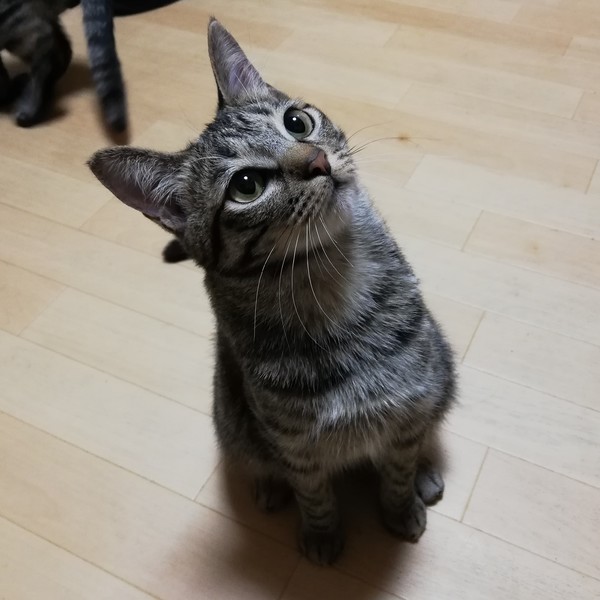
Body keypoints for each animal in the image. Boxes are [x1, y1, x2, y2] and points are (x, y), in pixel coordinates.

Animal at [88, 18, 457, 565]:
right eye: (245, 185)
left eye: (297, 122)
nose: (318, 160)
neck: (328, 283)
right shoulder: (295, 445)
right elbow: (315, 494)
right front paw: (322, 534)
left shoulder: (409, 405)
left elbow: (397, 468)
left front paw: (401, 505)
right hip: (232, 421)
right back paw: (268, 489)